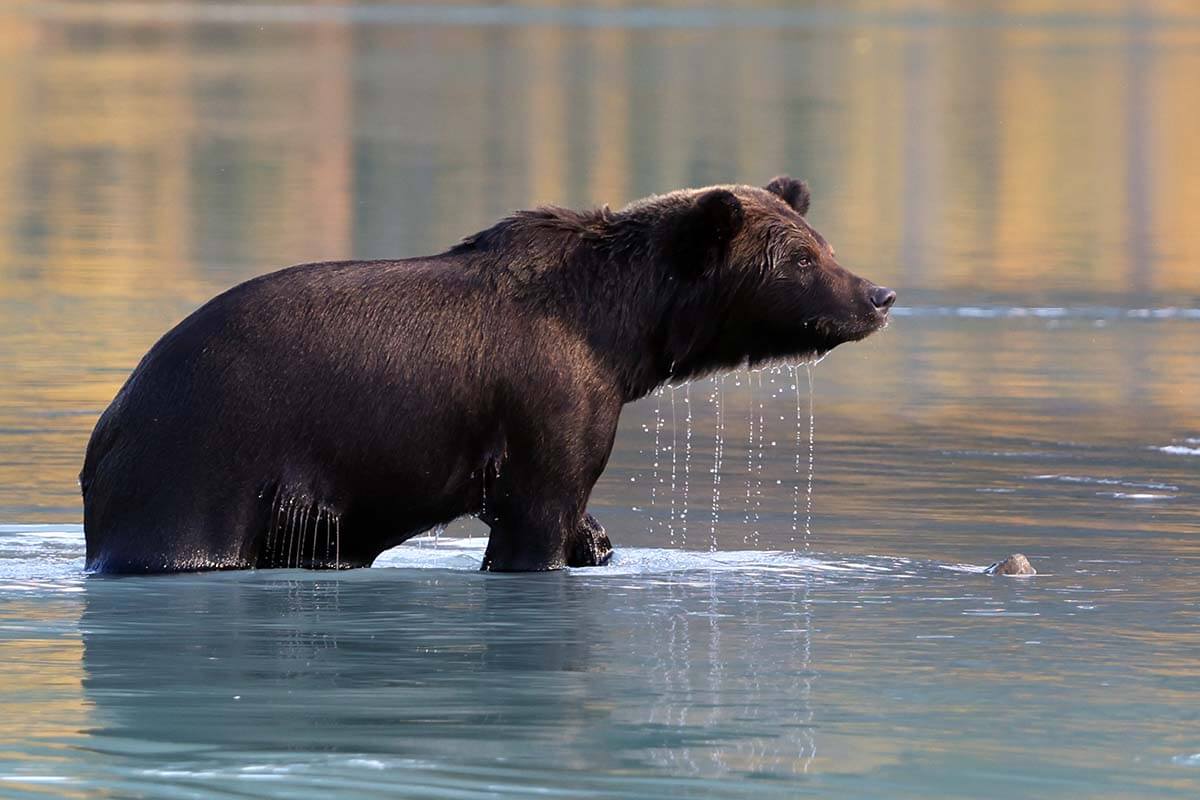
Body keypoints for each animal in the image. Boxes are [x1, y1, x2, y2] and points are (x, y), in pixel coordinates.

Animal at [79, 177, 897, 573]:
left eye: (822, 243)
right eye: (800, 260)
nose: (877, 295)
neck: (627, 337)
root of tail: (111, 418)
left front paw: (597, 540)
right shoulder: (552, 400)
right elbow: (540, 512)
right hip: (202, 457)